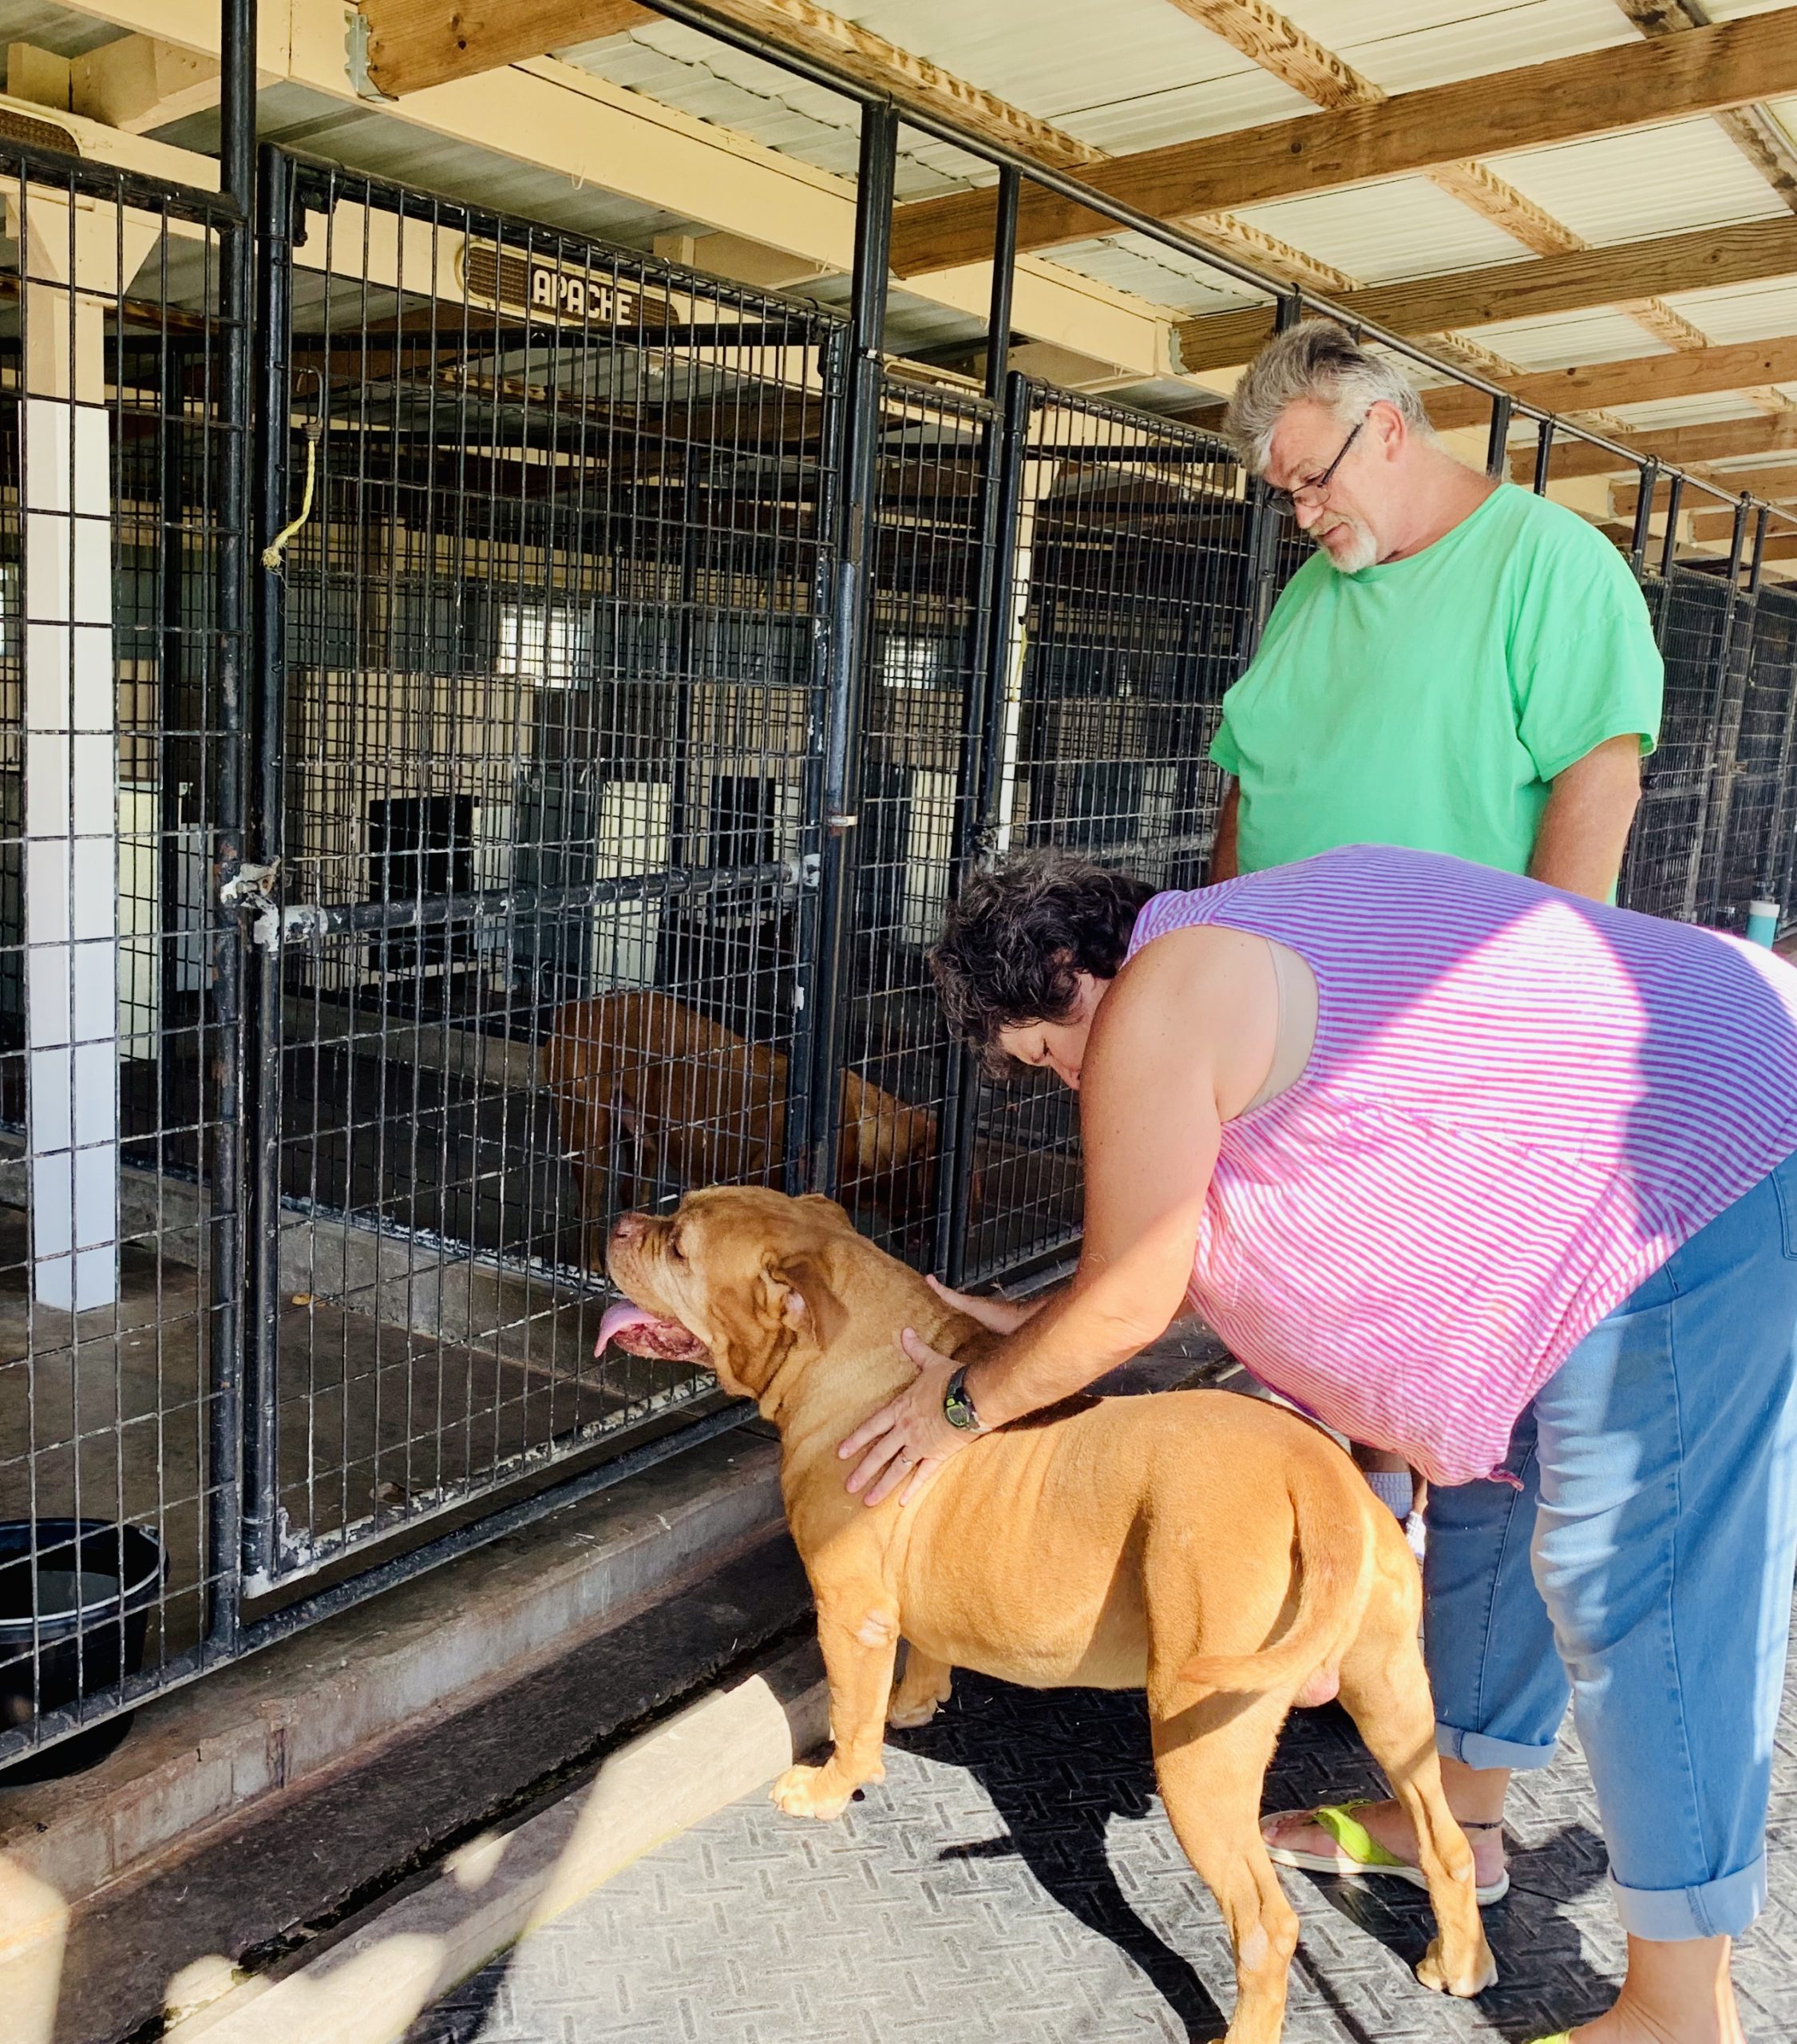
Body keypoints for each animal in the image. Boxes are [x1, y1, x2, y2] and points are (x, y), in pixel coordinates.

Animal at [605, 1185, 1504, 2044]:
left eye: (680, 1246)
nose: (619, 1223)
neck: (860, 1352)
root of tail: (1311, 1474)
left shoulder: (849, 1613)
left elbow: (849, 1718)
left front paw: (830, 1786)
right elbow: (923, 1653)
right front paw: (917, 1703)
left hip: (1200, 1753)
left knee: (1265, 1923)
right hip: (1394, 1700)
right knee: (1446, 1838)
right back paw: (1458, 1963)